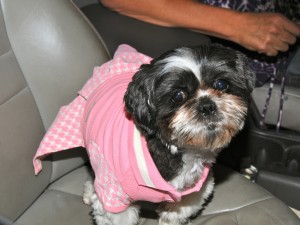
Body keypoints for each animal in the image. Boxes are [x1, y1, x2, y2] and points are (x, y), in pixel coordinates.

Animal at [82, 44, 255, 225]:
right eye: (178, 96)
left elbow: (178, 211)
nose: (207, 106)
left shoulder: (194, 189)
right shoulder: (114, 197)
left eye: (221, 84)